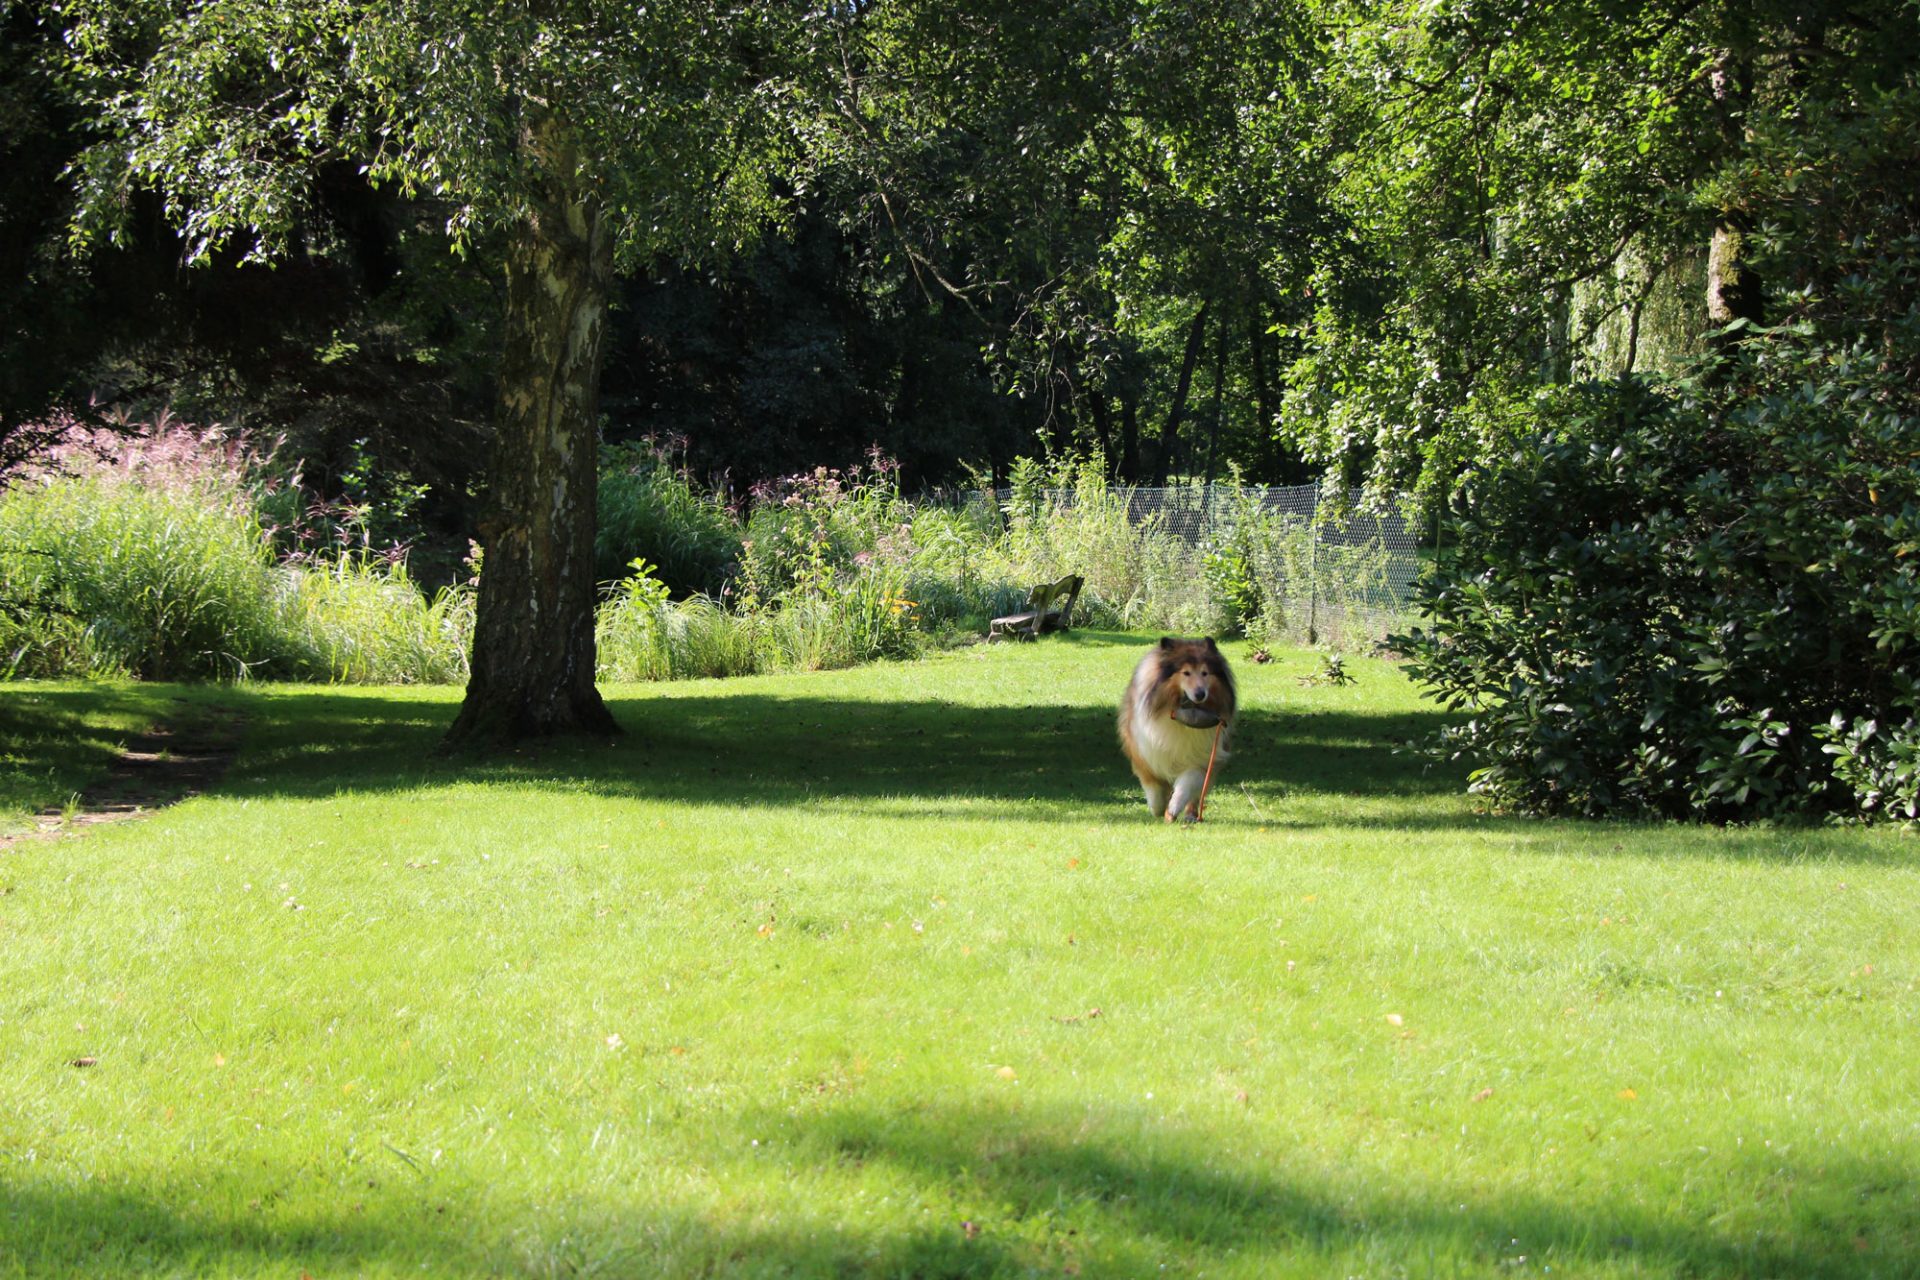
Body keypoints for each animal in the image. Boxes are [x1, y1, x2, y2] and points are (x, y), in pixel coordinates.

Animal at [1121, 637, 1236, 825]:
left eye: (1205, 673)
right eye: (1186, 673)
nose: (1200, 694)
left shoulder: (1201, 758)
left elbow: (1186, 785)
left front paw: (1173, 809)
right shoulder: (1146, 755)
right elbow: (1154, 788)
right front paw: (1158, 809)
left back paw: (1190, 815)